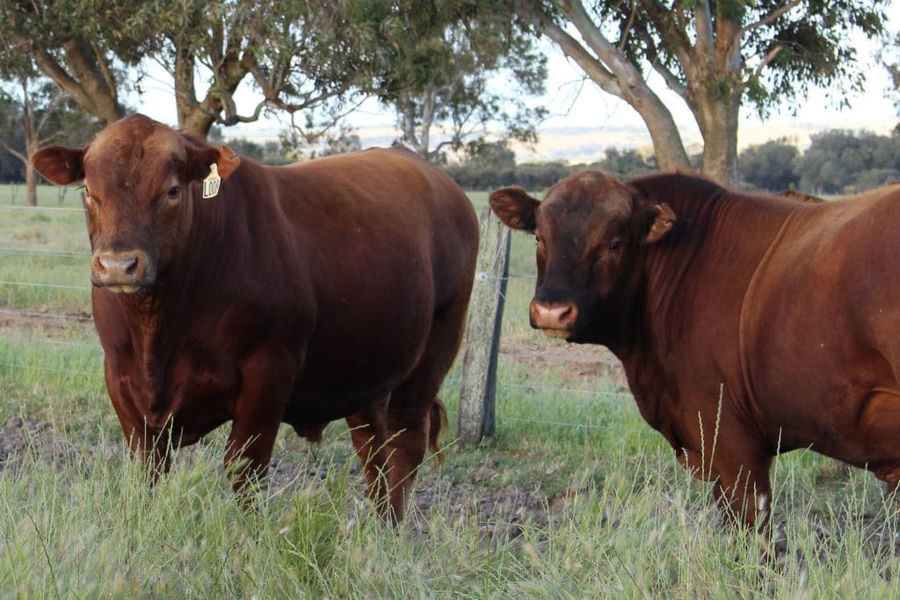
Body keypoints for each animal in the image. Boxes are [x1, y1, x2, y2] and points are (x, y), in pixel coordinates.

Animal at [31, 114, 479, 523]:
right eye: (88, 191)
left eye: (172, 190)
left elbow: (245, 469)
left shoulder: (268, 372)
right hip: (366, 368)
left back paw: (390, 534)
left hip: (436, 347)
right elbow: (146, 470)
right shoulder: (120, 377)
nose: (118, 265)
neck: (158, 329)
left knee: (405, 442)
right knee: (373, 448)